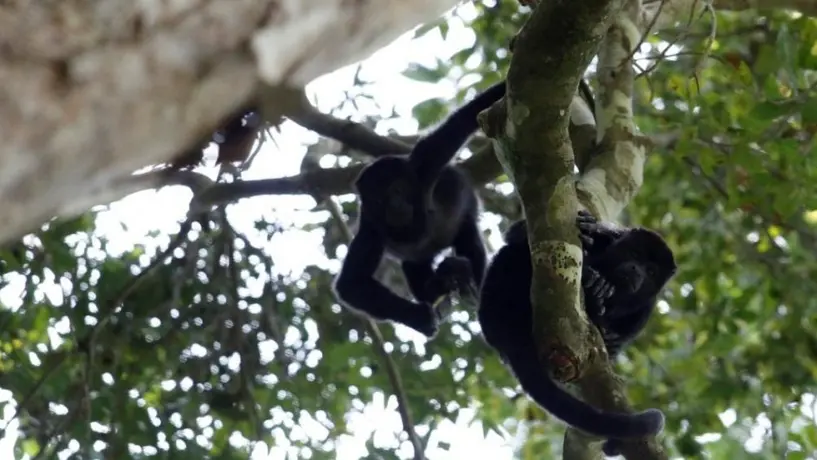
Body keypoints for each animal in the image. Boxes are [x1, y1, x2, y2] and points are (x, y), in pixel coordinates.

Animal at [333, 81, 506, 337]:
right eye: (378, 199)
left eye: (397, 189)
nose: (395, 205)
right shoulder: (370, 228)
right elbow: (351, 284)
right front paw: (418, 317)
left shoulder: (425, 164)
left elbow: (463, 120)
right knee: (413, 265)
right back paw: (440, 285)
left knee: (469, 238)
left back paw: (468, 283)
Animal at [478, 210, 677, 444]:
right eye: (635, 254)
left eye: (651, 271)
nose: (637, 270)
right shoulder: (611, 237)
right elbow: (516, 233)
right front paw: (592, 228)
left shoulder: (647, 306)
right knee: (513, 253)